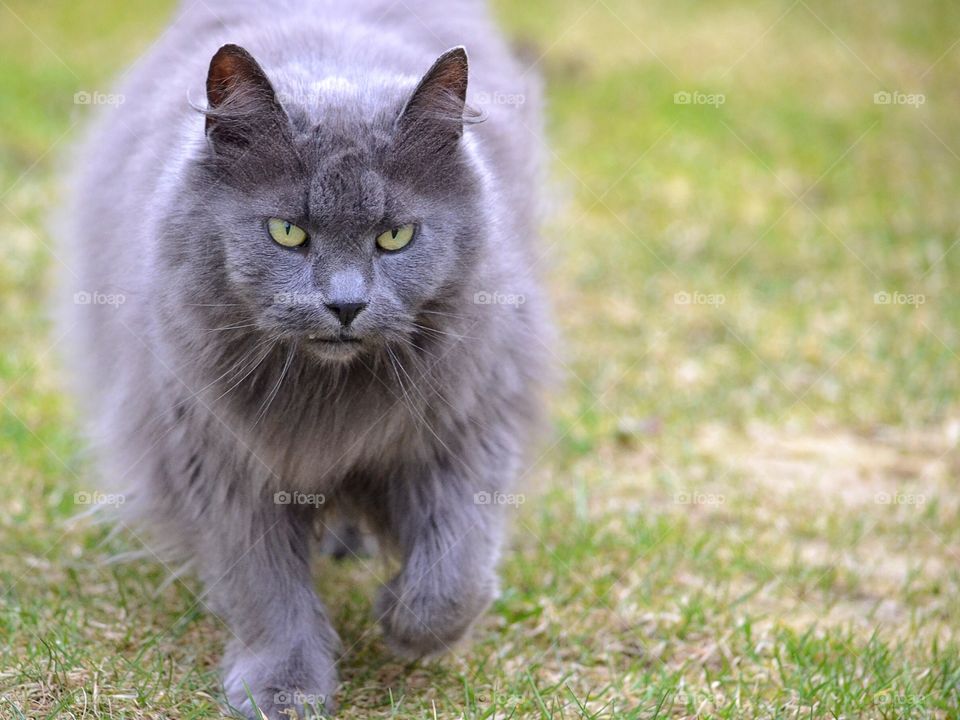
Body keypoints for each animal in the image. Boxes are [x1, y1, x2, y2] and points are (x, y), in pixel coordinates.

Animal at [62, 0, 548, 716]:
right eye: (288, 232)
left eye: (395, 236)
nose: (345, 304)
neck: (326, 397)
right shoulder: (218, 455)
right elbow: (265, 588)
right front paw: (283, 687)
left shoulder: (468, 422)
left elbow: (454, 576)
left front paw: (399, 617)